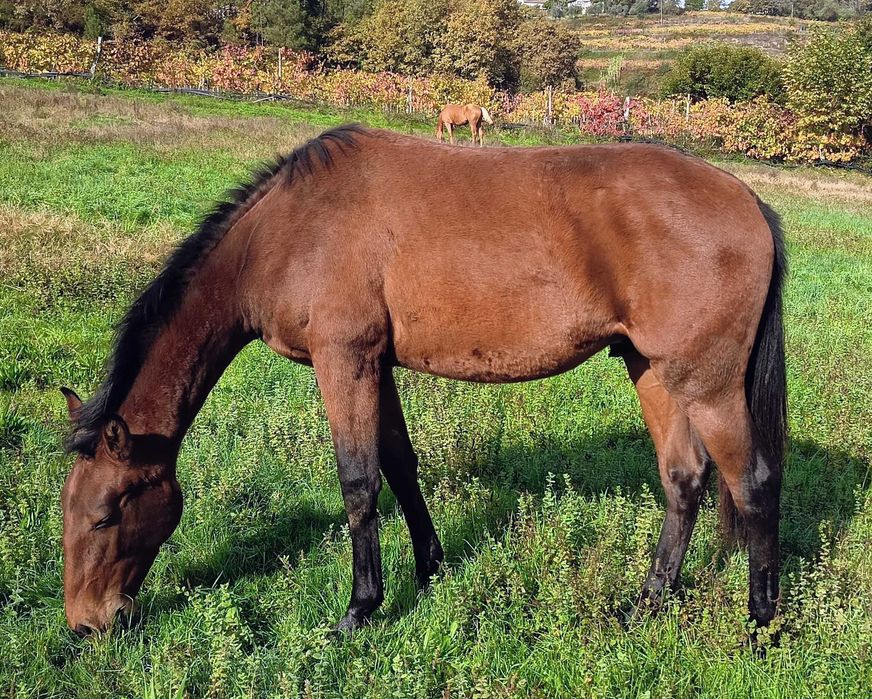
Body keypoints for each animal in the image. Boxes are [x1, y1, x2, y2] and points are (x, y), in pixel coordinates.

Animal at [60, 125, 786, 636]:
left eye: (105, 514)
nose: (85, 623)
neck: (290, 230)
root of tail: (750, 201)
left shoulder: (343, 358)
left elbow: (358, 482)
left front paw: (360, 608)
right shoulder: (375, 364)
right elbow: (400, 466)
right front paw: (431, 567)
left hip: (709, 386)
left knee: (752, 483)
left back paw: (760, 622)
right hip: (654, 370)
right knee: (684, 479)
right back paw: (646, 604)